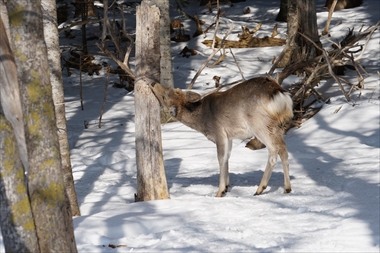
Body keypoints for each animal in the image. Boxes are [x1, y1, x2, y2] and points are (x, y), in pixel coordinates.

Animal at [150, 76, 292, 197]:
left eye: (164, 97)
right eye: (173, 89)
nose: (153, 83)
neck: (202, 121)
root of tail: (280, 95)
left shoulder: (219, 132)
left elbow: (220, 159)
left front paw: (220, 192)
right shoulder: (229, 136)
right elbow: (227, 157)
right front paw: (227, 187)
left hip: (260, 124)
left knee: (274, 150)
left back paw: (260, 189)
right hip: (277, 126)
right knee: (283, 149)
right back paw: (287, 188)